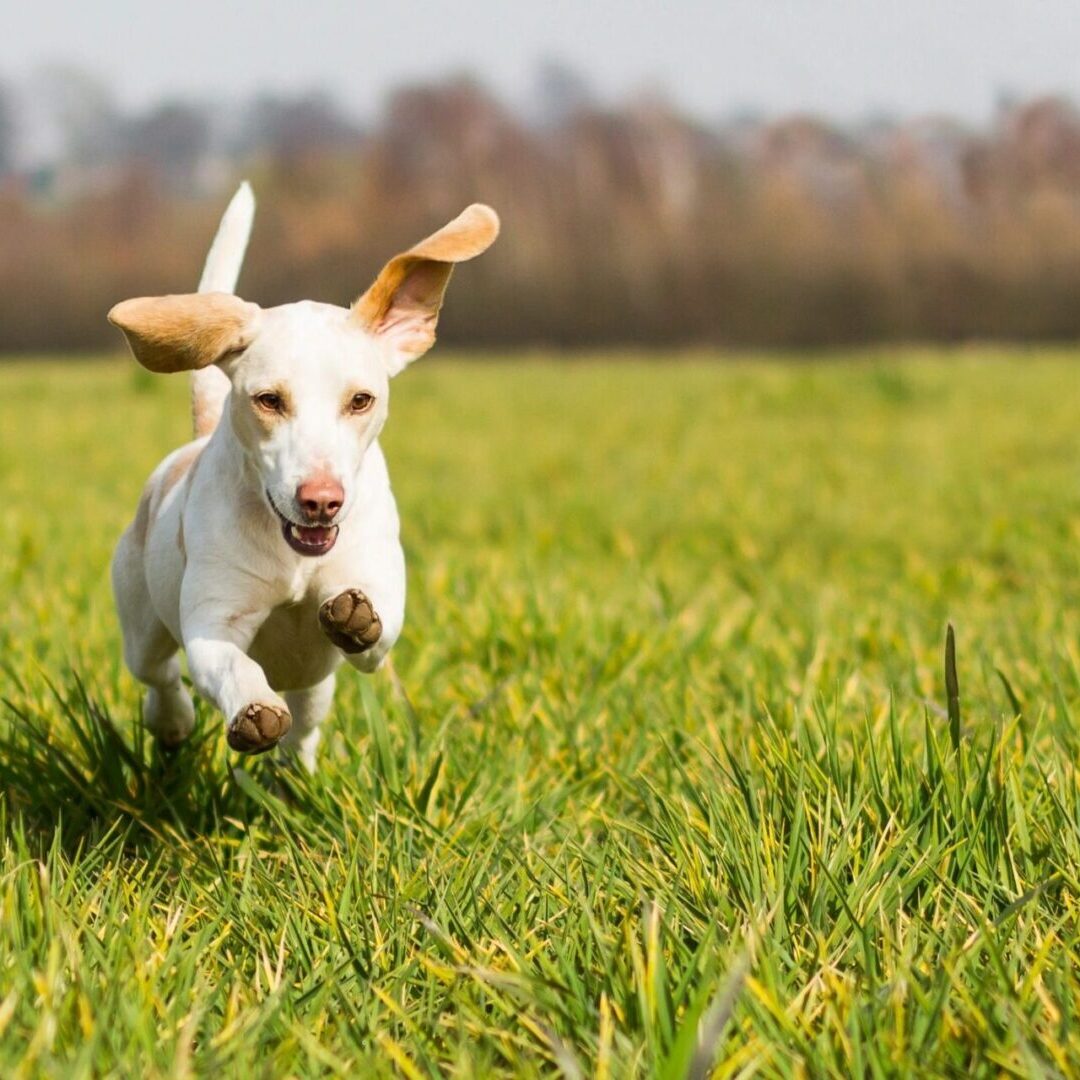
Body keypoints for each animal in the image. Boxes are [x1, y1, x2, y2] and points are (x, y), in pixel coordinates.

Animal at [109, 185, 496, 773]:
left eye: (361, 400)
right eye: (269, 399)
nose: (321, 501)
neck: (294, 557)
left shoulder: (377, 601)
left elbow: (375, 629)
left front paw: (356, 617)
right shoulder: (213, 623)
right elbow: (231, 665)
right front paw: (254, 711)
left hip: (315, 686)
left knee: (306, 728)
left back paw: (292, 774)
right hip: (142, 623)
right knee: (160, 678)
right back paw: (174, 723)